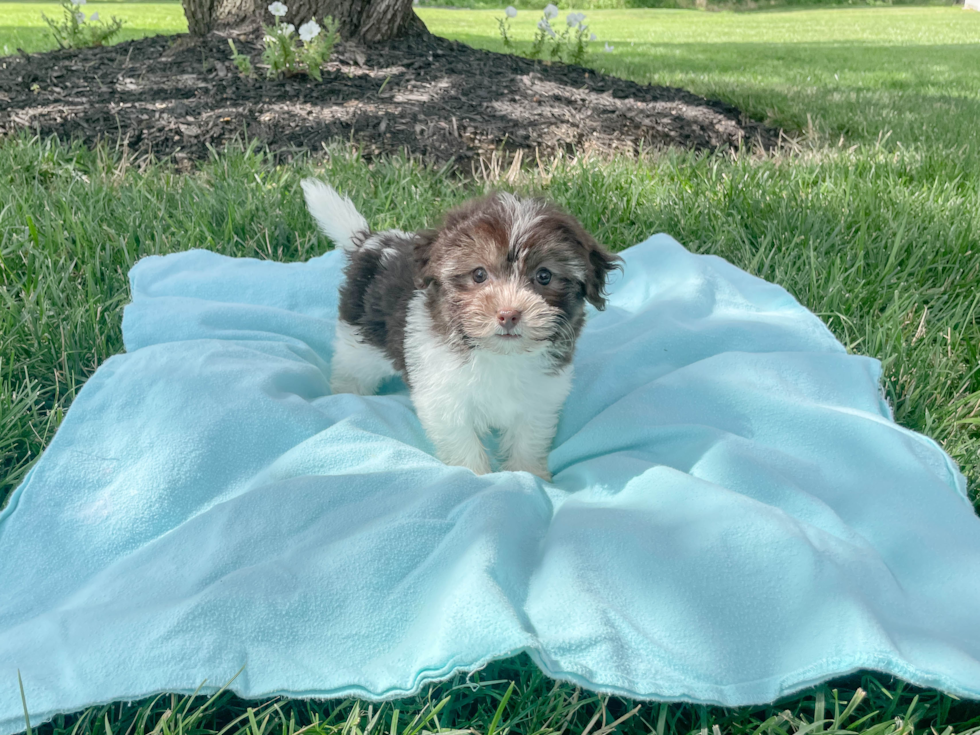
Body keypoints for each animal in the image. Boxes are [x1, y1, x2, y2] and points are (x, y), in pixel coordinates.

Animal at [302, 180, 620, 484]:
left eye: (544, 276)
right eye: (479, 274)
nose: (508, 314)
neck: (500, 355)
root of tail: (372, 243)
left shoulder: (540, 398)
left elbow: (528, 438)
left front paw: (530, 473)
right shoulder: (444, 396)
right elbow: (462, 440)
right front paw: (475, 476)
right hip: (360, 341)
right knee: (351, 371)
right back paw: (347, 395)